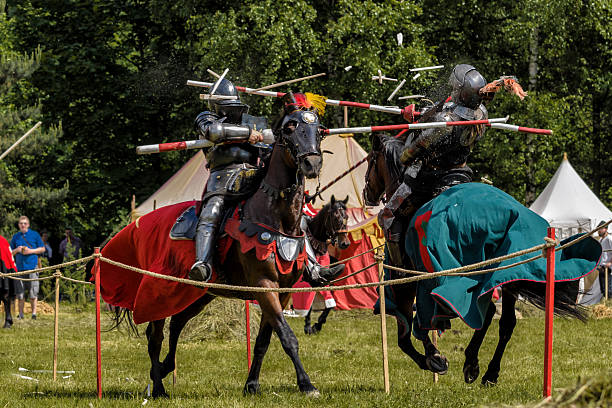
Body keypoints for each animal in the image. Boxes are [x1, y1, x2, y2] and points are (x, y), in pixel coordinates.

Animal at [100, 99, 328, 398]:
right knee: (155, 335)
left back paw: (164, 369)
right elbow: (288, 337)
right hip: (160, 288)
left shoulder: (283, 291)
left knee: (177, 324)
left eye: (318, 130)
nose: (312, 163)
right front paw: (307, 384)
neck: (275, 217)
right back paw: (159, 386)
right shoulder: (264, 286)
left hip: (198, 293)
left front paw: (251, 385)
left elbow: (264, 341)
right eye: (290, 128)